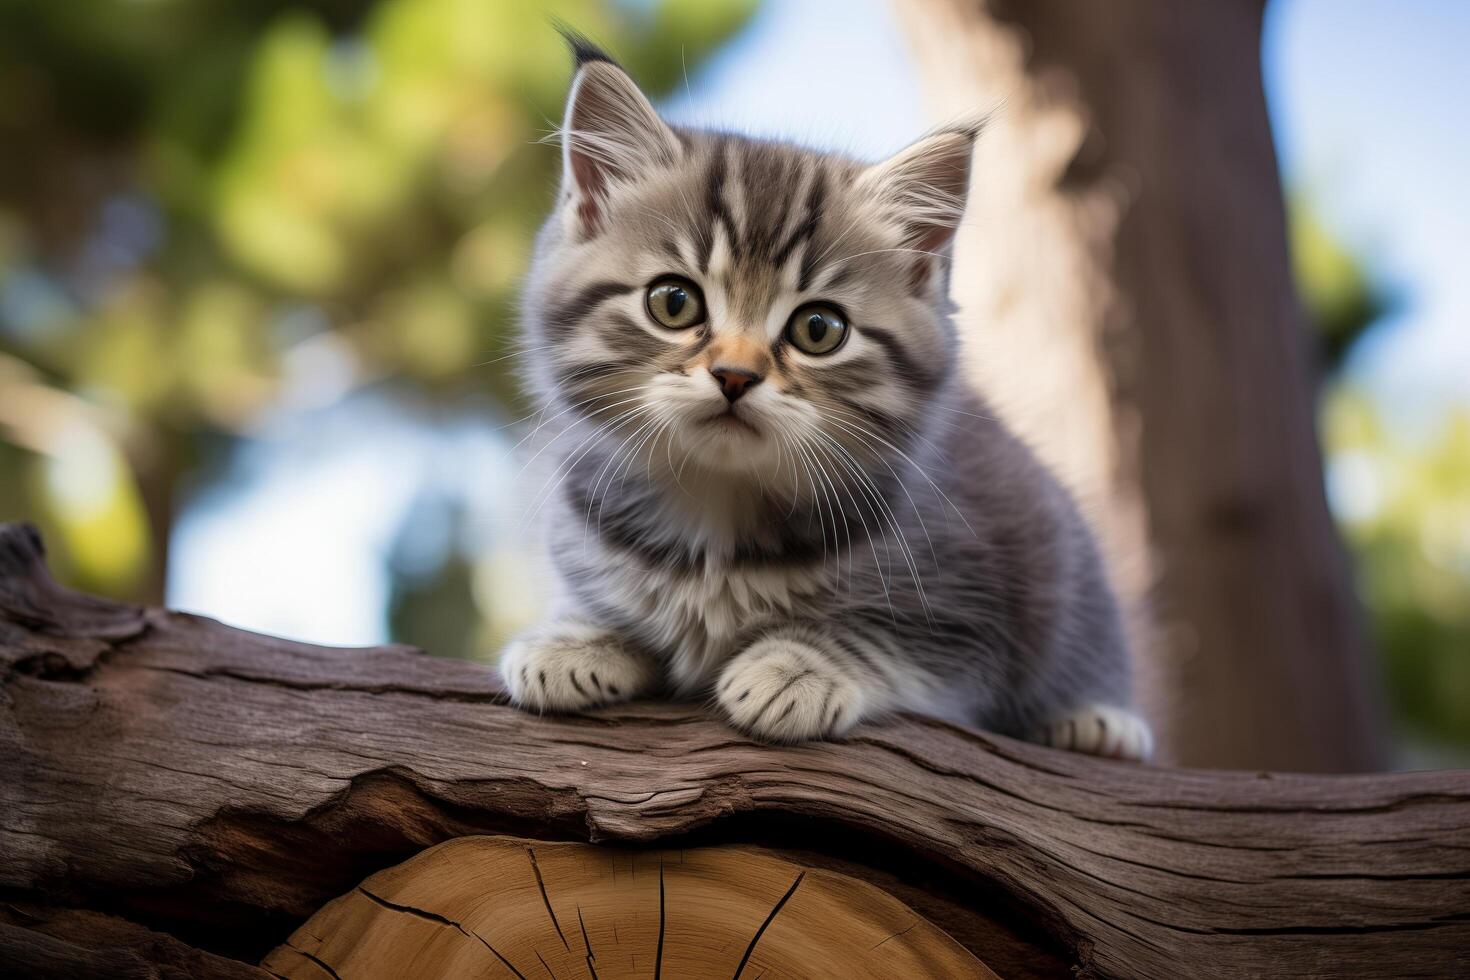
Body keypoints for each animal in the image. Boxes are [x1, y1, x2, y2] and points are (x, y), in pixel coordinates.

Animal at [499, 42, 1152, 764]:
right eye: (673, 302)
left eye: (818, 329)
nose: (734, 375)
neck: (720, 513)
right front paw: (575, 636)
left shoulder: (973, 611)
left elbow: (887, 638)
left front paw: (799, 666)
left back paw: (1099, 722)